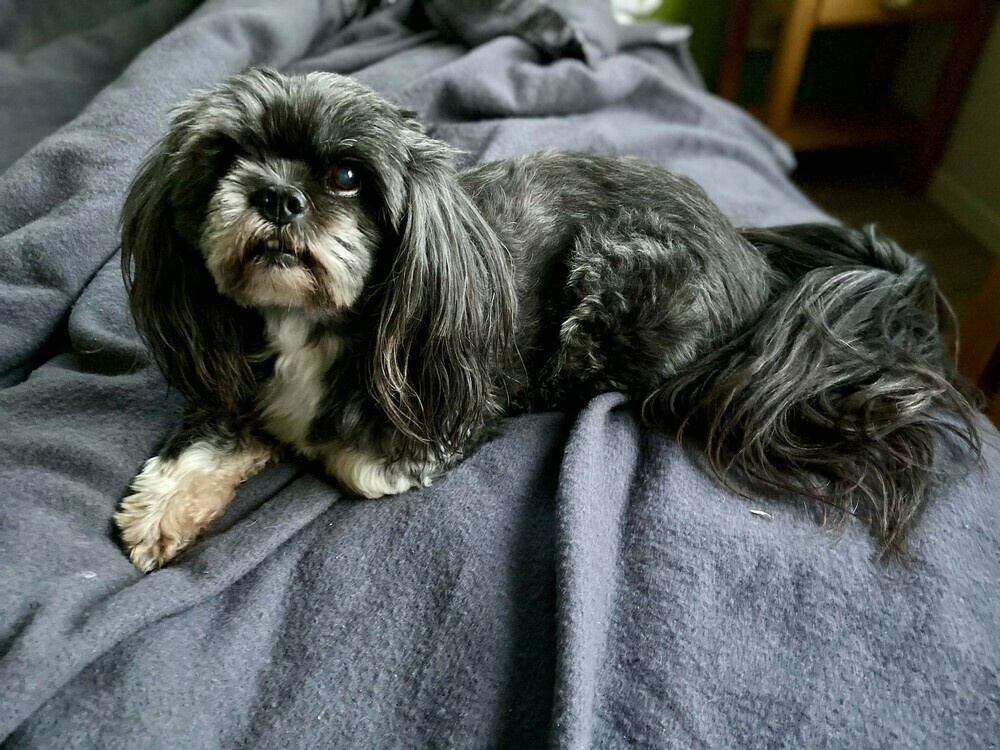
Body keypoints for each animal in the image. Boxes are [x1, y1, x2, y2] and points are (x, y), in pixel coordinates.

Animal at [113, 72, 980, 576]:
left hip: (618, 273)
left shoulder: (437, 422)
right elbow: (212, 435)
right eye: (226, 159)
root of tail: (754, 263)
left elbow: (351, 461)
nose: (277, 196)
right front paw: (165, 507)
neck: (310, 325)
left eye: (348, 176)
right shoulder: (240, 375)